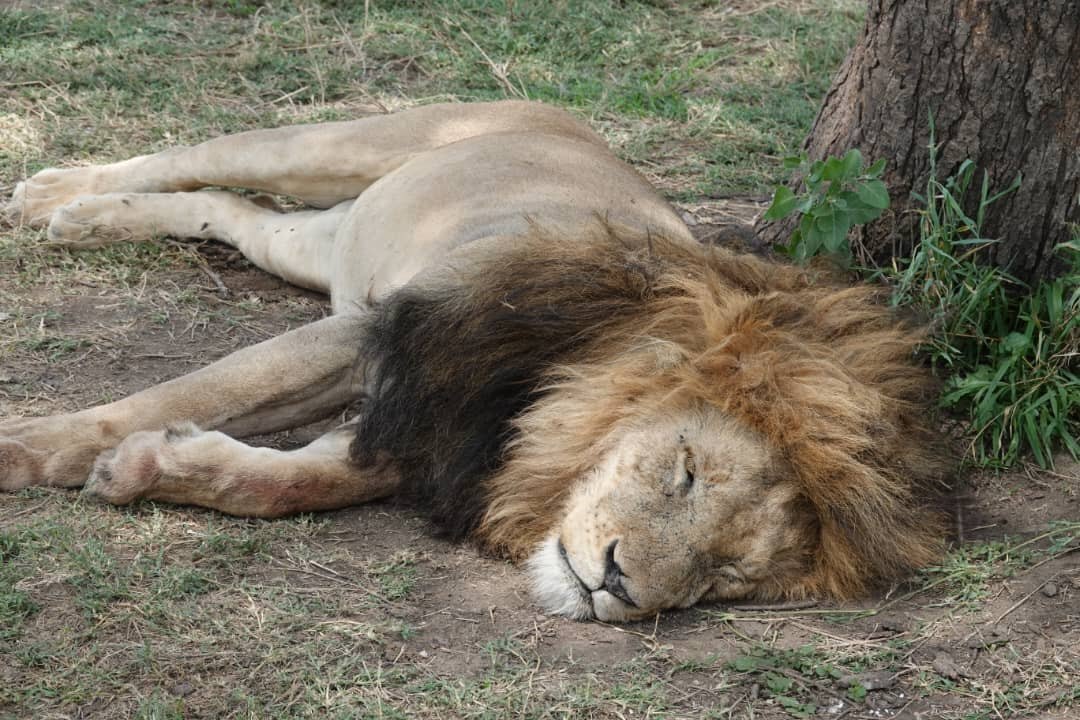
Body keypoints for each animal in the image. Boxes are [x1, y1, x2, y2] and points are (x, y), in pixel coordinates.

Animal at [1, 101, 947, 621]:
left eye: (726, 576)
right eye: (684, 475)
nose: (618, 589)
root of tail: (579, 127)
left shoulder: (417, 425)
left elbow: (294, 479)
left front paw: (150, 468)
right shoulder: (383, 336)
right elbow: (180, 392)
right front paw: (27, 451)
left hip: (315, 245)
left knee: (227, 212)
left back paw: (91, 218)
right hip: (338, 148)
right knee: (199, 157)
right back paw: (57, 193)